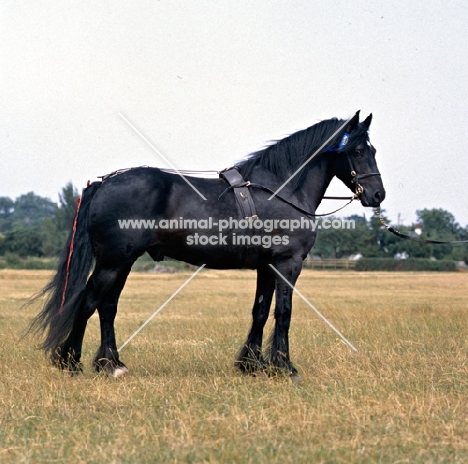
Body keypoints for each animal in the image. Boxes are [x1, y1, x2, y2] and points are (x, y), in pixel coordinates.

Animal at [32, 110, 384, 378]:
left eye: (374, 151)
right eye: (357, 151)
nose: (377, 194)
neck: (281, 190)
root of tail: (105, 183)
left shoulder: (266, 266)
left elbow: (260, 310)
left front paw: (251, 364)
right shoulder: (287, 263)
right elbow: (283, 312)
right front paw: (284, 366)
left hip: (122, 264)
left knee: (107, 307)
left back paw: (111, 364)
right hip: (112, 263)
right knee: (89, 302)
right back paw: (71, 362)